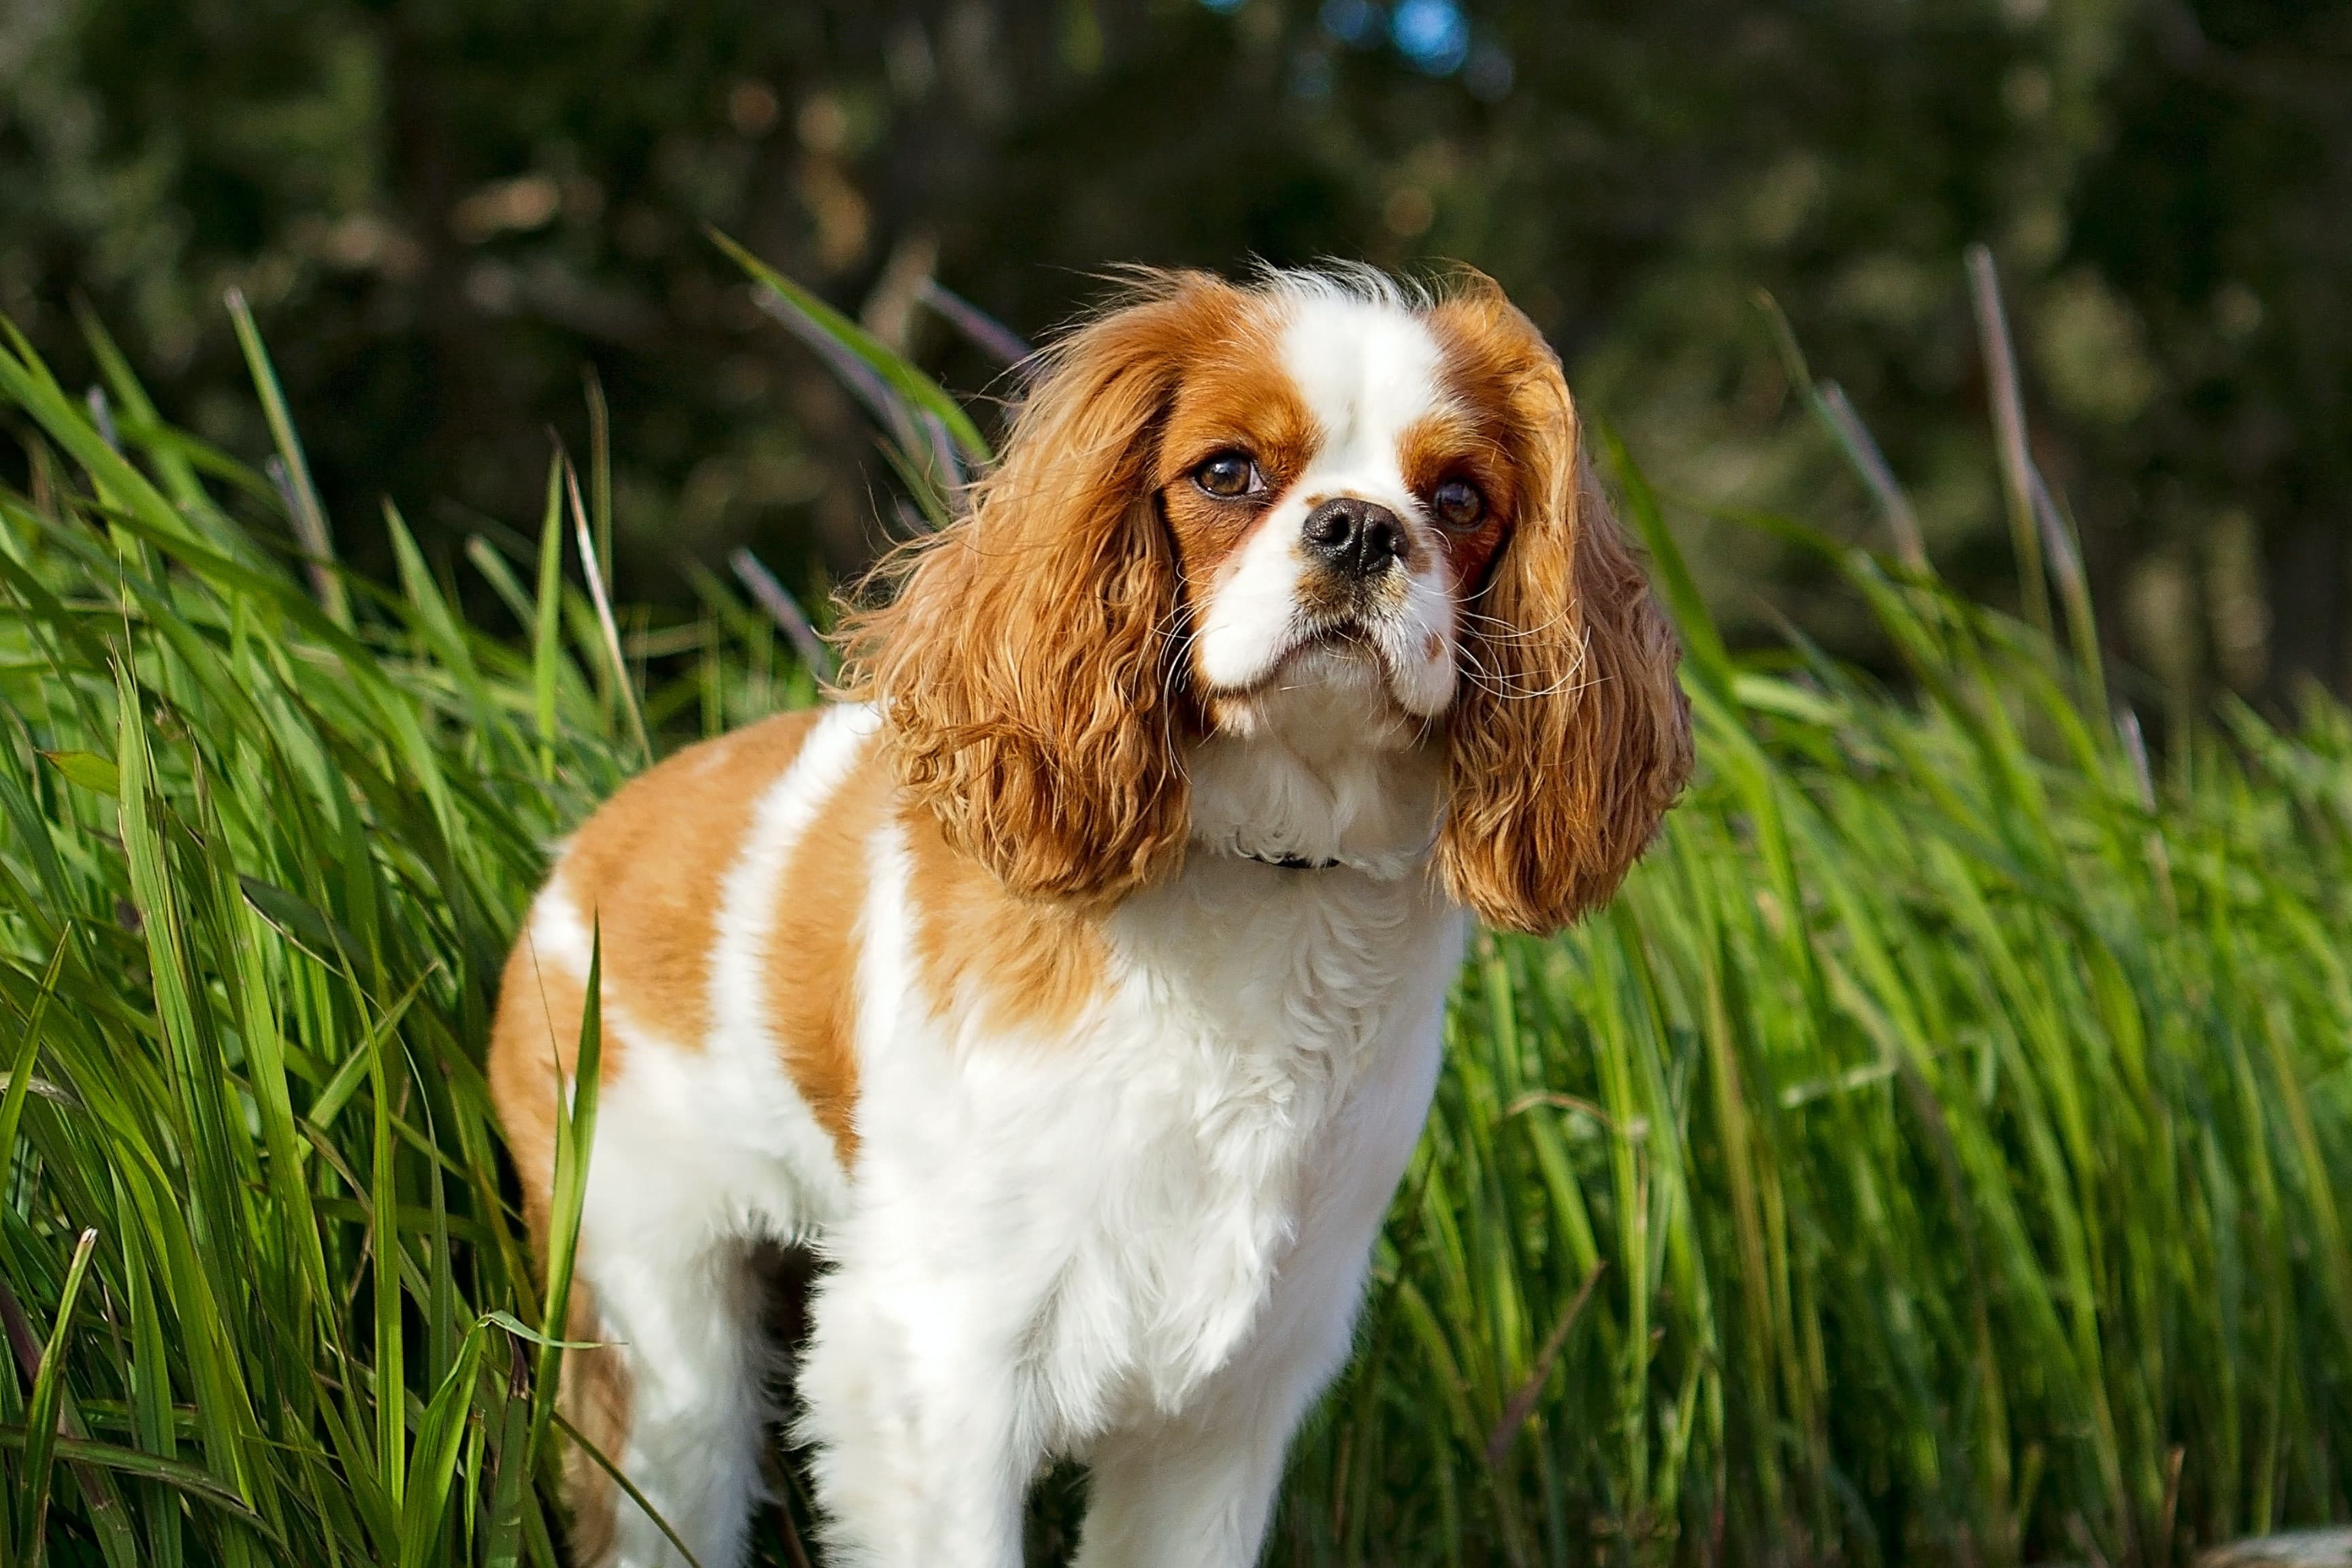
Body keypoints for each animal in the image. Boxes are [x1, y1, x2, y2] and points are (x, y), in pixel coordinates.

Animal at [487, 263, 1693, 1561]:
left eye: (1460, 497)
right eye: (1226, 472)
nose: (1363, 527)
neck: (1273, 867)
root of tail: (584, 851)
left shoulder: (1228, 1413)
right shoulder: (938, 1369)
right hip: (657, 1331)